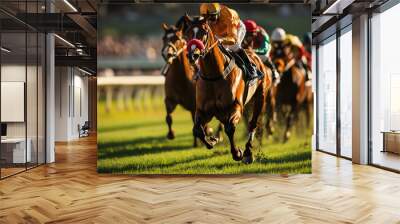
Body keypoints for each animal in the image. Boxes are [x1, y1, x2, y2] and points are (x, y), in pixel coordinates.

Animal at [184, 15, 272, 163]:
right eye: (188, 33)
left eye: (204, 31)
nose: (192, 55)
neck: (214, 76)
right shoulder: (203, 110)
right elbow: (197, 130)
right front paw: (211, 141)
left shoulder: (236, 107)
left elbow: (230, 128)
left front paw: (237, 153)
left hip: (261, 97)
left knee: (252, 123)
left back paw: (248, 152)